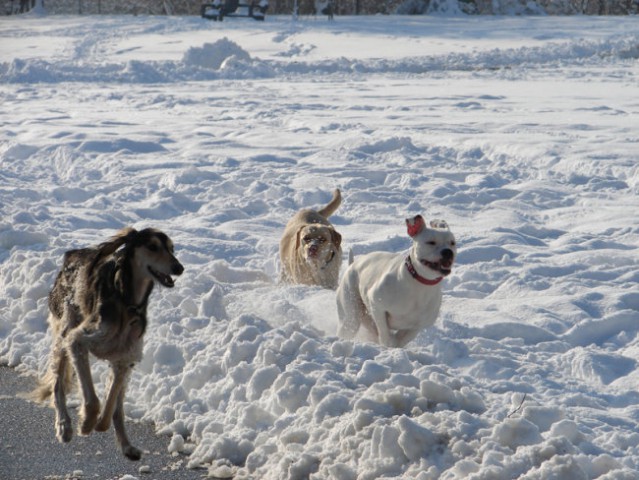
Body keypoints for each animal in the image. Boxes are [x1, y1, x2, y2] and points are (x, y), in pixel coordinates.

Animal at [338, 216, 458, 346]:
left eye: (452, 243)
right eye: (431, 242)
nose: (448, 251)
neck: (419, 283)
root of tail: (352, 265)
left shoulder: (417, 326)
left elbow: (402, 339)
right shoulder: (377, 305)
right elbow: (384, 331)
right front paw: (387, 343)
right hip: (352, 312)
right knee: (350, 324)